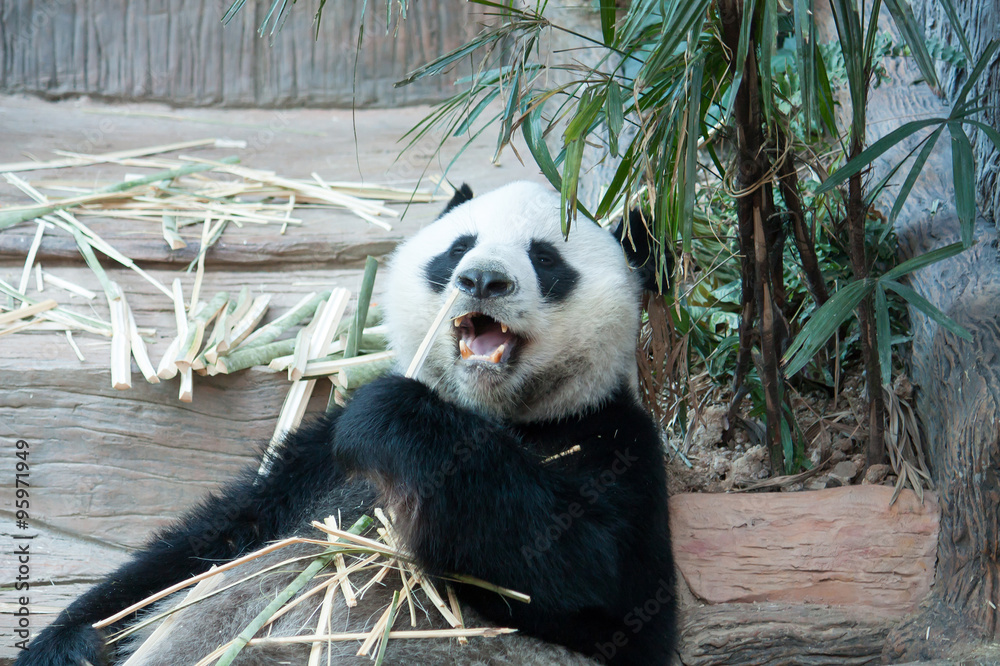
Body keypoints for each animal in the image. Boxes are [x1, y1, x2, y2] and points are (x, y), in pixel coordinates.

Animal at [16, 181, 677, 666]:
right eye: (457, 249)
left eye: (546, 258)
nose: (483, 279)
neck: (482, 410)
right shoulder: (312, 461)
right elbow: (211, 541)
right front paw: (68, 644)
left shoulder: (611, 440)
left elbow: (600, 577)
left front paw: (390, 415)